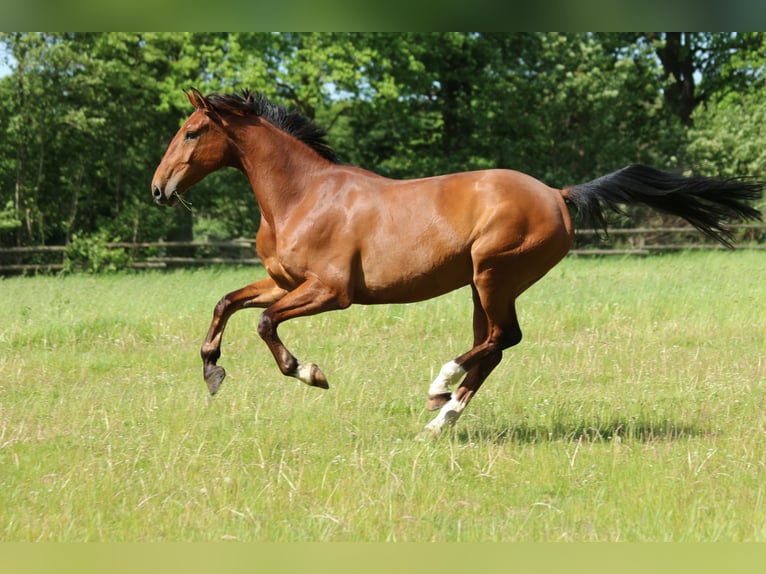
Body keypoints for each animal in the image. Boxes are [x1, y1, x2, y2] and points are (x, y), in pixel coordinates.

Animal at [150, 89, 760, 440]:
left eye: (193, 131)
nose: (158, 189)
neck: (303, 196)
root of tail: (557, 194)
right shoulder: (284, 281)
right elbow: (227, 302)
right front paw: (212, 371)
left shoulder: (330, 292)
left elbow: (263, 322)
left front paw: (309, 373)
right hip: (480, 285)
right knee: (494, 347)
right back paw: (440, 419)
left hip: (494, 275)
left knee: (501, 339)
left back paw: (439, 386)